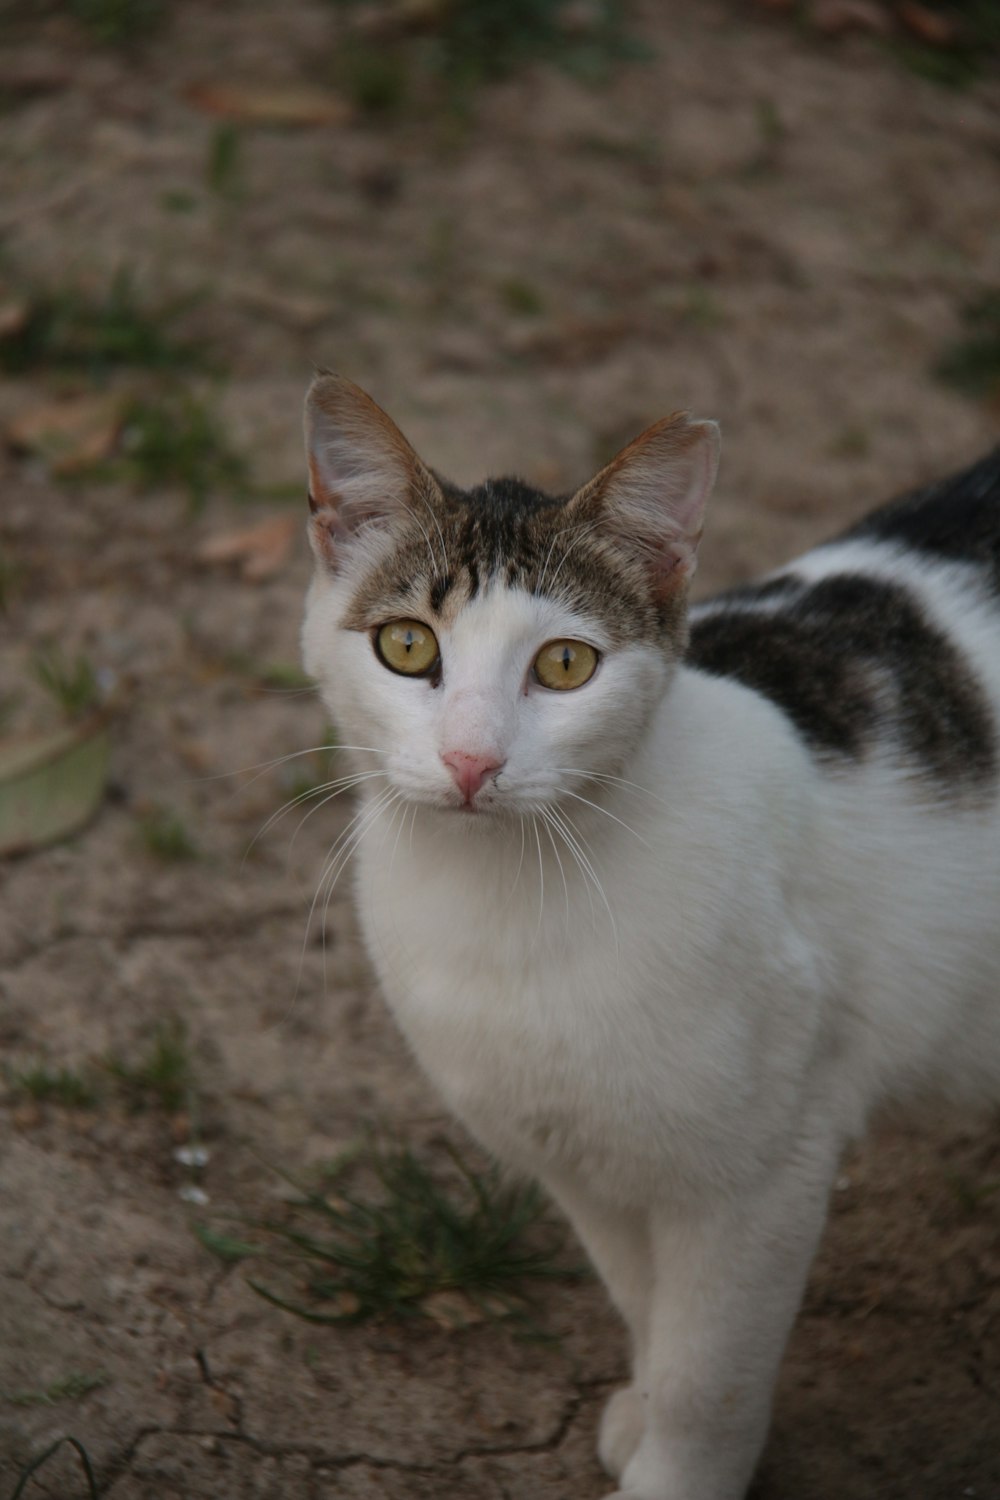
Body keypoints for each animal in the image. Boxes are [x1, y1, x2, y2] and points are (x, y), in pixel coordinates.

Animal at [296, 372, 1000, 1500]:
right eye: (406, 646)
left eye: (564, 664)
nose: (470, 761)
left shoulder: (759, 1178)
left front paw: (679, 1473)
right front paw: (641, 1405)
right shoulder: (580, 1161)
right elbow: (645, 1305)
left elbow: (706, 1372)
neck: (507, 908)